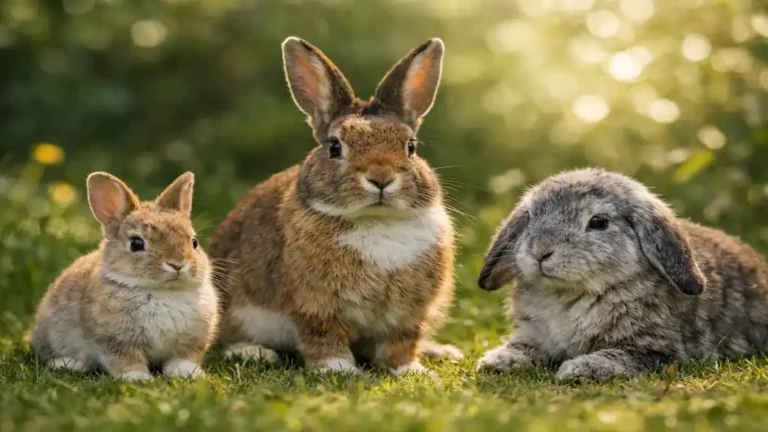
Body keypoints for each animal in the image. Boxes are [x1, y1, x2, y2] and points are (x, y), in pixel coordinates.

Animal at [31, 172, 218, 381]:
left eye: (194, 242)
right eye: (136, 243)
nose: (177, 264)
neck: (161, 291)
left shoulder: (191, 341)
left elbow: (183, 358)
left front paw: (188, 373)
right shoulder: (115, 341)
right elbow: (126, 360)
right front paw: (138, 377)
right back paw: (68, 363)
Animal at [208, 36, 461, 376]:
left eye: (411, 146)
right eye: (334, 147)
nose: (381, 178)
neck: (375, 220)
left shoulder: (408, 314)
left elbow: (401, 343)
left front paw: (410, 370)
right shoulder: (315, 307)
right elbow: (324, 338)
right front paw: (338, 370)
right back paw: (254, 352)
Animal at [475, 168, 768, 382]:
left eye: (598, 222)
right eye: (531, 216)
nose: (540, 252)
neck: (573, 294)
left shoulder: (655, 350)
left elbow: (620, 357)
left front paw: (579, 369)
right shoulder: (535, 334)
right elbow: (524, 347)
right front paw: (497, 361)